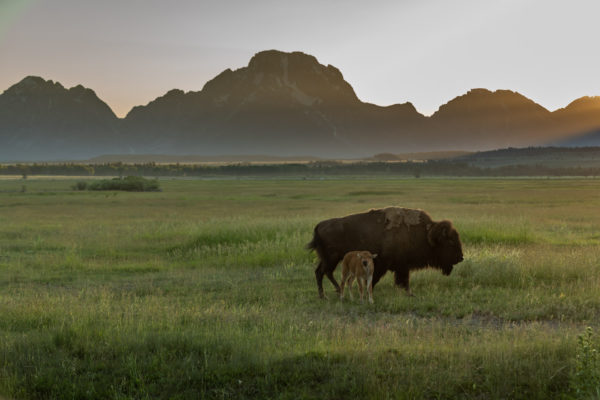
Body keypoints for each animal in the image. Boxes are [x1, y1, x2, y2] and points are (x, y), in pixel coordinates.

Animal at [308, 208, 466, 298]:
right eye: (450, 242)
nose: (460, 257)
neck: (425, 234)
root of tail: (319, 225)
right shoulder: (386, 264)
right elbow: (378, 279)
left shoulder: (401, 266)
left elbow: (402, 280)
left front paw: (408, 293)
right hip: (332, 258)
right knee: (323, 272)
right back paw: (327, 294)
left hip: (328, 258)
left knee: (321, 272)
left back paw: (329, 293)